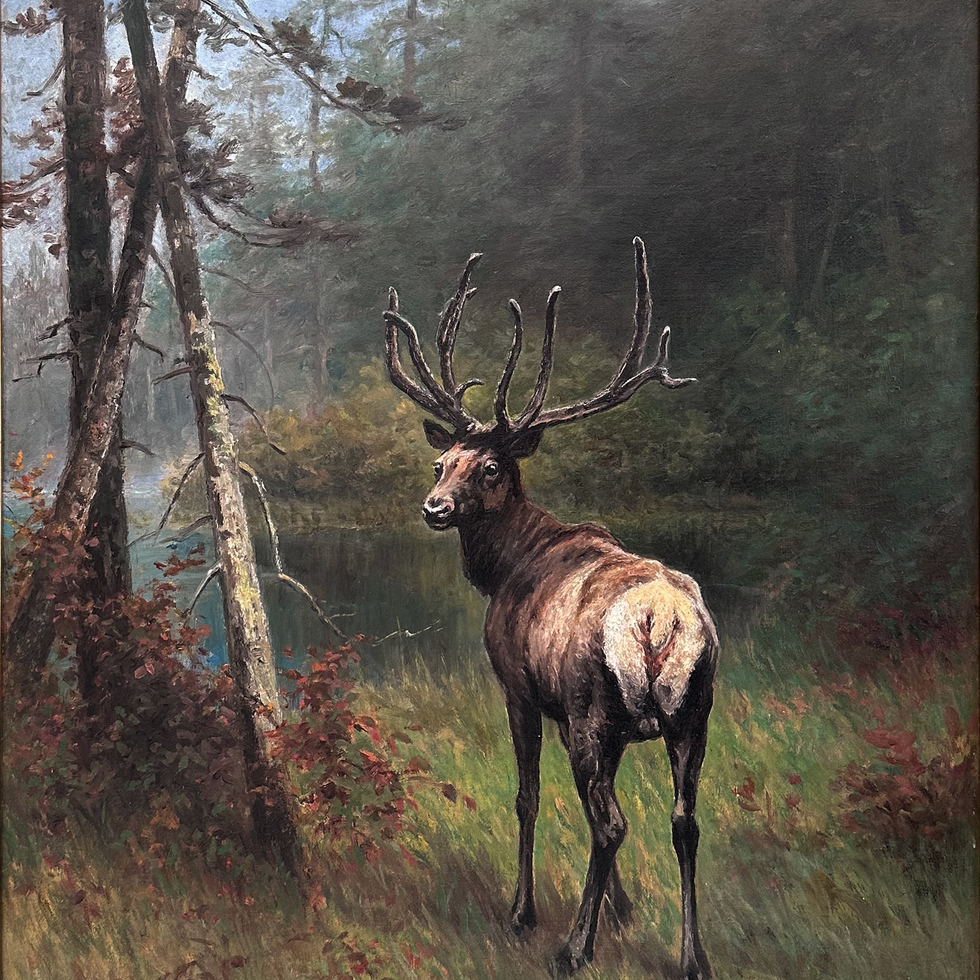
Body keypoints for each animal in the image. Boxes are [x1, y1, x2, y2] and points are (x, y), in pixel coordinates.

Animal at [382, 238, 718, 979]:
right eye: (440, 463)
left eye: (488, 467)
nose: (433, 508)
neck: (506, 567)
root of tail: (660, 620)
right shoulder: (586, 719)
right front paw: (621, 910)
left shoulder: (522, 687)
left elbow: (528, 798)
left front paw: (523, 912)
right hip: (693, 711)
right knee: (681, 821)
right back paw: (692, 957)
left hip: (597, 703)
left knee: (614, 822)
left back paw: (571, 948)